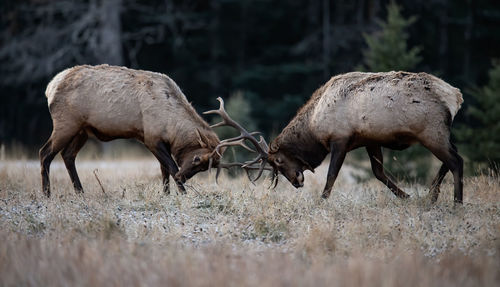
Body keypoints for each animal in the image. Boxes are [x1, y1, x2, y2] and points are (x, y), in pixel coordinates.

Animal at [42, 64, 222, 197]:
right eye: (197, 159)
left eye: (204, 168)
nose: (182, 178)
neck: (171, 127)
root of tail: (50, 87)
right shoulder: (151, 139)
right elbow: (171, 167)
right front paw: (182, 193)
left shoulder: (157, 141)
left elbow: (163, 169)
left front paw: (166, 194)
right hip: (66, 124)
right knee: (45, 153)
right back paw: (47, 194)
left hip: (82, 131)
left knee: (67, 155)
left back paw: (80, 192)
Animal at [208, 71, 464, 204]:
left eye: (278, 161)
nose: (296, 182)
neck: (314, 126)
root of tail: (455, 96)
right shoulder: (371, 140)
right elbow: (379, 173)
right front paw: (406, 196)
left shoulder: (340, 138)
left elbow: (331, 175)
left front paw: (322, 201)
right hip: (441, 132)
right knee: (453, 157)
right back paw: (432, 195)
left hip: (430, 132)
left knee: (456, 161)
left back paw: (456, 203)